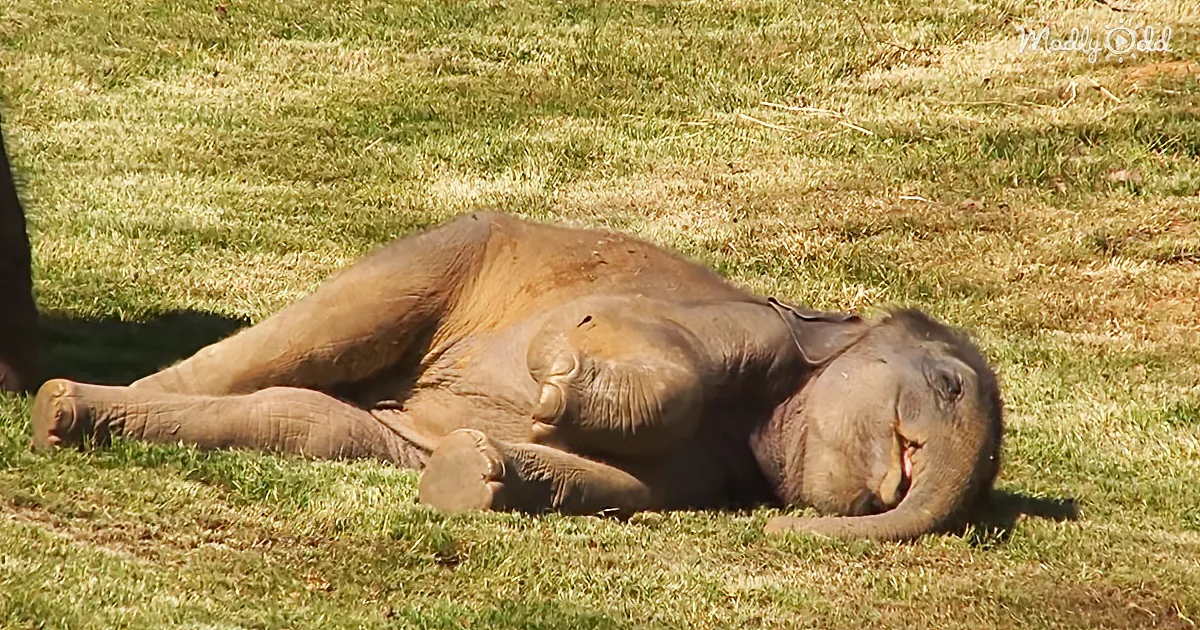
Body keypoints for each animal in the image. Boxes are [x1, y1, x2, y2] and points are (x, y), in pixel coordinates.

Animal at [31, 212, 1003, 541]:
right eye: (950, 387)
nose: (785, 528)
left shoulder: (715, 474)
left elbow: (624, 489)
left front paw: (478, 468)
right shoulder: (735, 325)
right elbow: (628, 335)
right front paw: (552, 377)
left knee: (305, 421)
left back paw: (74, 416)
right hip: (448, 255)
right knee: (308, 341)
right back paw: (62, 410)